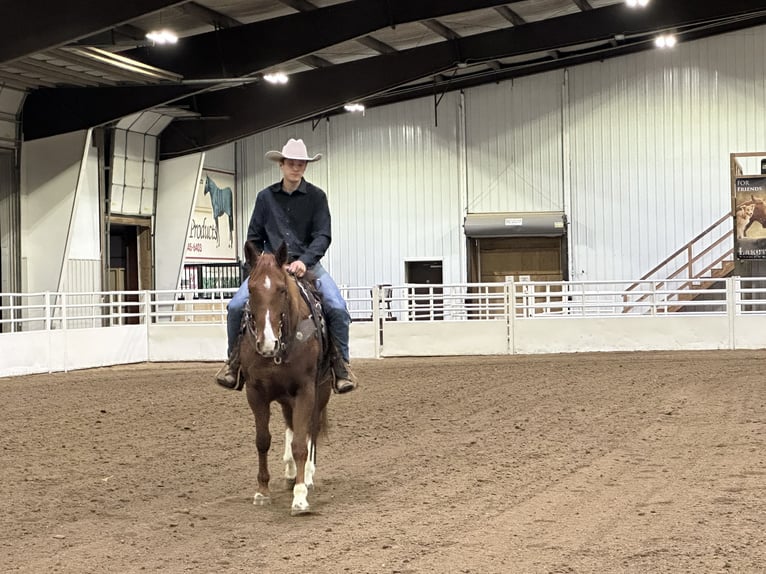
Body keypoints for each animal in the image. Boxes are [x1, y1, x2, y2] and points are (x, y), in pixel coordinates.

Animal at [240, 242, 332, 516]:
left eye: (281, 289)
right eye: (251, 288)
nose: (267, 343)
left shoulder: (305, 390)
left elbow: (301, 443)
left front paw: (300, 498)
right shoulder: (255, 392)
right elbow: (262, 441)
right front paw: (262, 491)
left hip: (321, 392)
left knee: (311, 429)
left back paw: (307, 476)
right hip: (284, 398)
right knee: (291, 425)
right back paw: (291, 472)